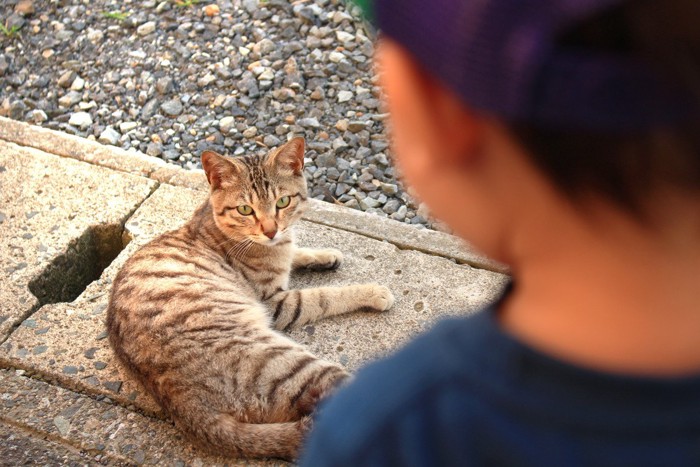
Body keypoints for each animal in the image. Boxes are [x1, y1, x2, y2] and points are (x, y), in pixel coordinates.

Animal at [106, 136, 396, 460]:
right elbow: (324, 295)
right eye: (245, 209)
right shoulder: (277, 303)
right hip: (289, 366)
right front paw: (372, 291)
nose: (270, 230)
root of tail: (187, 409)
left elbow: (296, 252)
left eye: (283, 202)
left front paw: (322, 256)